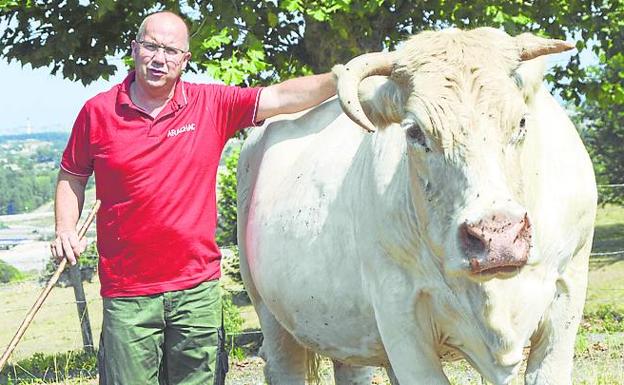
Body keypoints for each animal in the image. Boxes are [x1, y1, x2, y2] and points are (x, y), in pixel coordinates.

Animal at [236, 27, 596, 384]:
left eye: (521, 122)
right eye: (414, 132)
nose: (498, 237)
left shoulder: (568, 291)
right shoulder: (400, 317)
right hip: (271, 316)